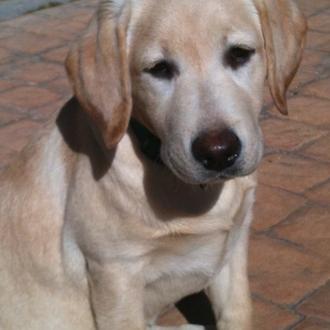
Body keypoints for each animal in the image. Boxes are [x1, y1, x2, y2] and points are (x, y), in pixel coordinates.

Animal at [0, 0, 306, 330]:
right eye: (159, 69)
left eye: (239, 54)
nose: (218, 153)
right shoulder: (115, 277)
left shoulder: (233, 252)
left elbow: (238, 313)